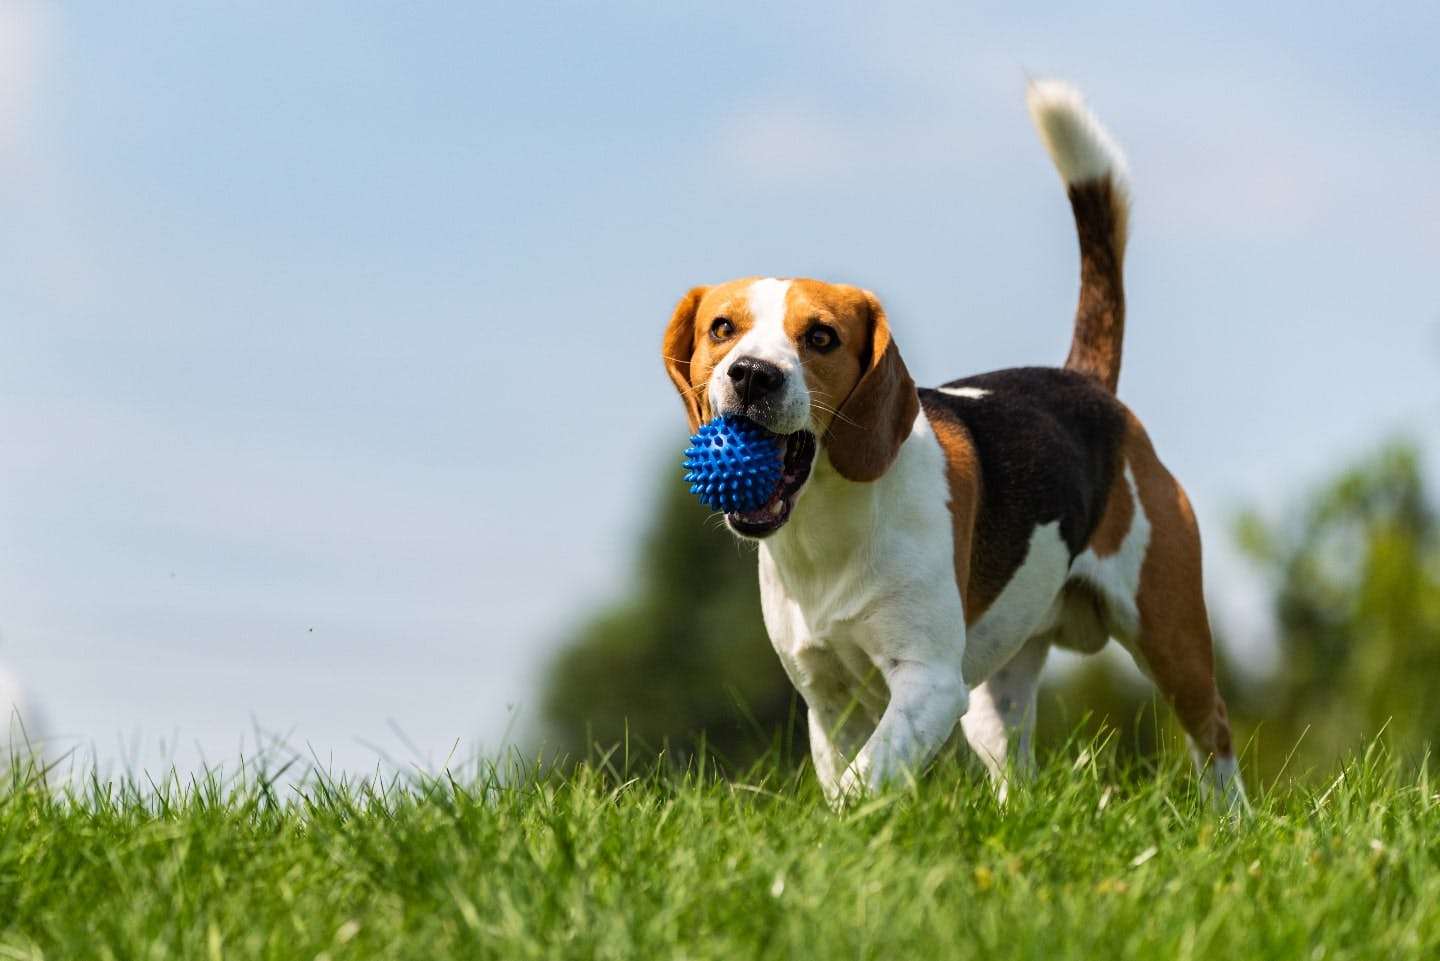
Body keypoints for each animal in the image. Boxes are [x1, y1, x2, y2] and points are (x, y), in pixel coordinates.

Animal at [659, 80, 1244, 812]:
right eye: (722, 328)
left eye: (820, 337)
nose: (753, 374)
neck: (828, 528)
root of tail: (1084, 383)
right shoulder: (828, 702)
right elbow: (847, 770)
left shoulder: (930, 683)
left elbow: (864, 777)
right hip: (998, 694)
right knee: (1016, 763)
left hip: (1167, 628)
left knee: (1214, 732)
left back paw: (1231, 821)